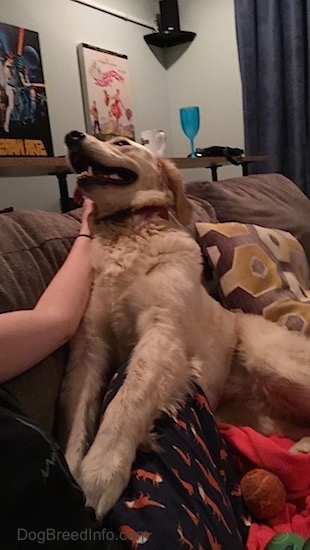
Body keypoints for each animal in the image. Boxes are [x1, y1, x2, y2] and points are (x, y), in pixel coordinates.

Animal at [61, 132, 310, 520]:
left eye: (121, 142)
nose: (72, 136)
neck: (127, 231)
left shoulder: (162, 335)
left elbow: (124, 404)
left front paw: (101, 472)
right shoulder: (90, 347)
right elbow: (78, 418)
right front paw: (73, 468)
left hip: (269, 357)